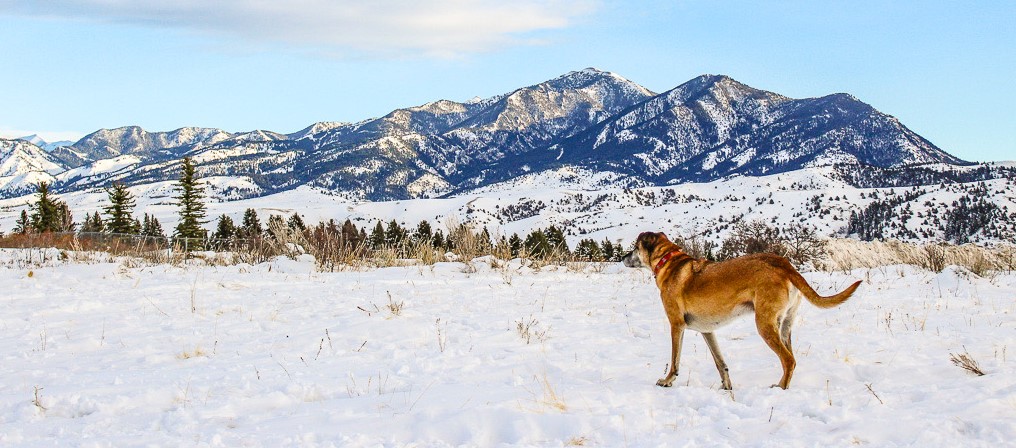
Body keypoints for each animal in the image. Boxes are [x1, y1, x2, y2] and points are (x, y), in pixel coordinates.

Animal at [621, 232, 861, 390]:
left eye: (635, 247)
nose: (623, 258)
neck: (668, 262)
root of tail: (784, 264)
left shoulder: (676, 325)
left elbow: (674, 359)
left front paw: (667, 380)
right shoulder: (707, 330)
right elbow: (720, 363)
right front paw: (726, 387)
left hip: (764, 324)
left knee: (788, 360)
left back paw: (780, 388)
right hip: (784, 325)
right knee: (791, 357)